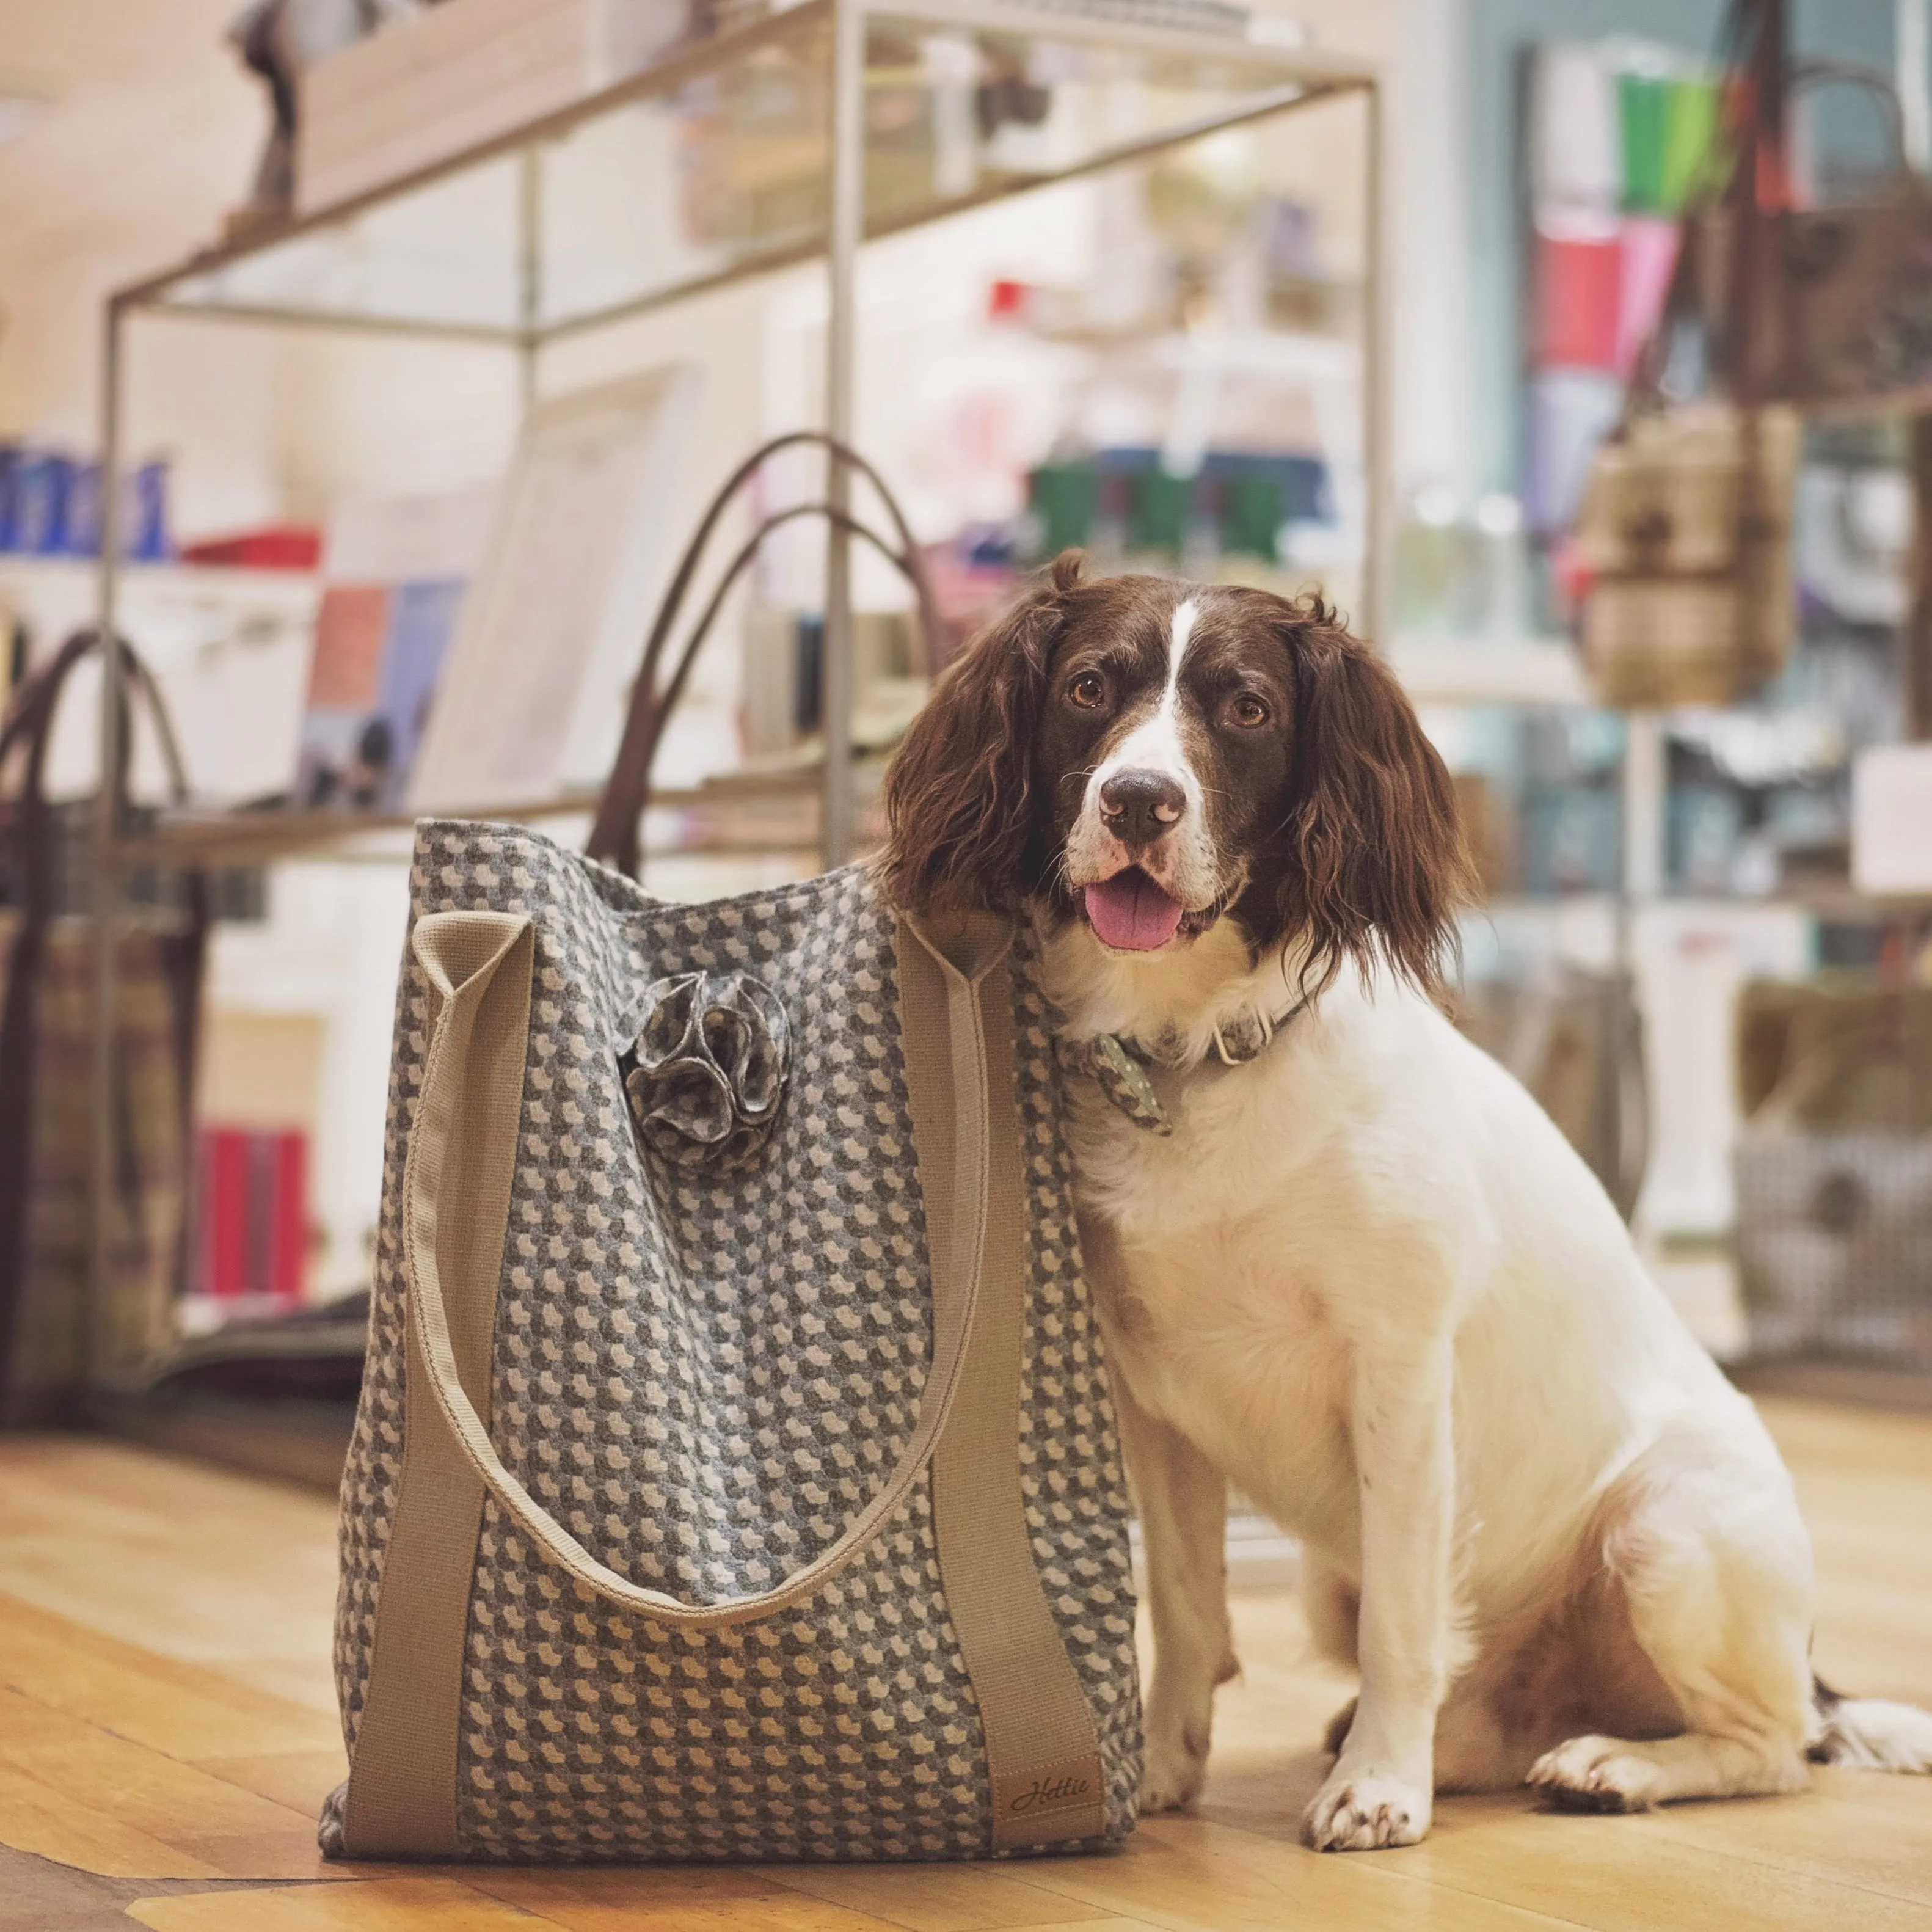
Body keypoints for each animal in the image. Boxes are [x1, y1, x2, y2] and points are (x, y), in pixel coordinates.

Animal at [881, 552, 1932, 1846]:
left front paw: (1378, 1786)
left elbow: (1398, 1619)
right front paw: (1164, 1765)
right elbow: (1184, 1603)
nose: (1136, 801)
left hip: (1665, 1531)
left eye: (1246, 708)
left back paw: (1614, 1765)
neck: (1200, 1051)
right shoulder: (1152, 1403)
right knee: (1492, 1712)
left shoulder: (1397, 1372)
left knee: (1773, 1745)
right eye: (1087, 688)